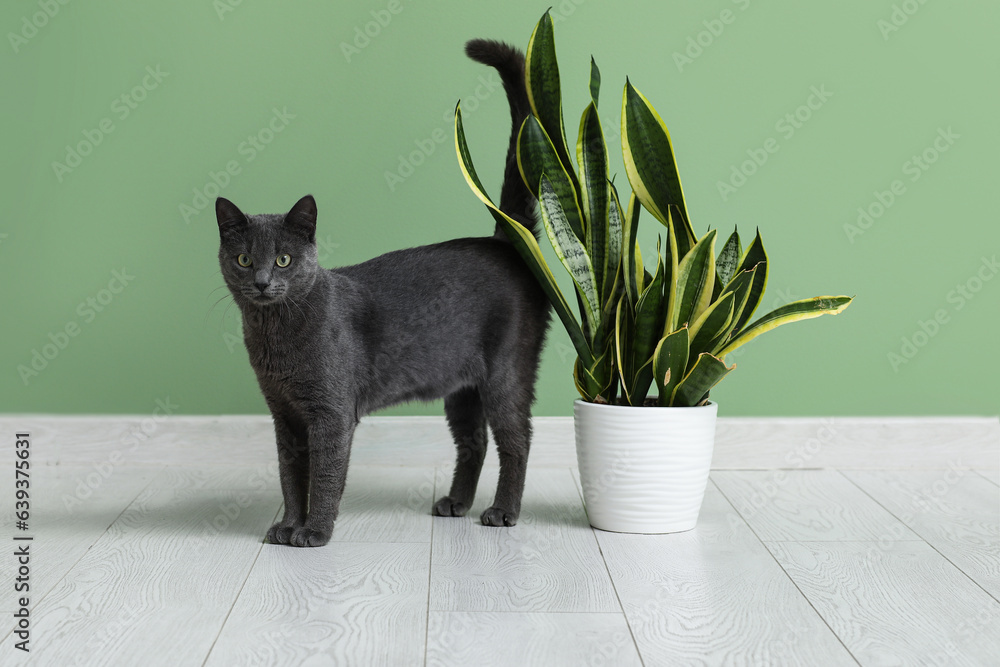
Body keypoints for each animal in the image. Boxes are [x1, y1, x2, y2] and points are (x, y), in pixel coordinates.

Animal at [214, 40, 552, 548]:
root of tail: (503, 239)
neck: (275, 334)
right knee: (473, 442)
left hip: (506, 370)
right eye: (243, 259)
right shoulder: (284, 415)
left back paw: (502, 512)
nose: (262, 281)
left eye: (284, 260)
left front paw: (314, 532)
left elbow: (325, 475)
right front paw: (288, 526)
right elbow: (290, 477)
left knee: (518, 439)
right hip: (461, 388)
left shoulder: (330, 414)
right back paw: (455, 504)